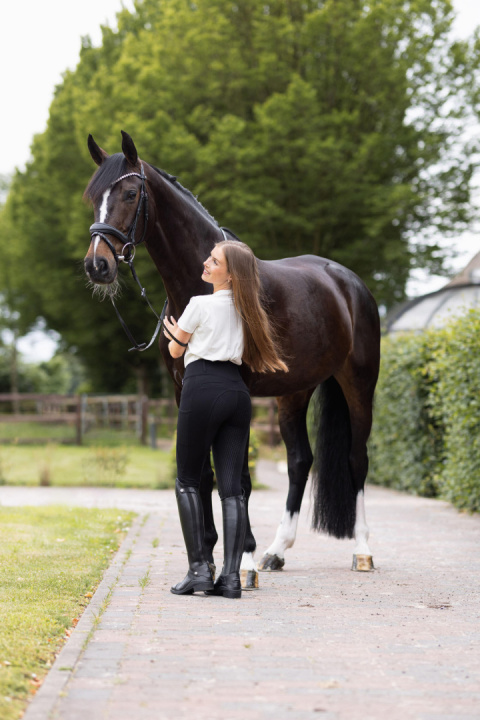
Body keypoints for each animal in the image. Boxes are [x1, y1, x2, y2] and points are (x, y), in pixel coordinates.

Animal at [83, 131, 382, 584]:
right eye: (92, 196)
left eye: (131, 194)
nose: (97, 265)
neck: (204, 290)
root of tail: (348, 282)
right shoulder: (185, 391)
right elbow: (206, 472)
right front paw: (210, 558)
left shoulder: (236, 389)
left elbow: (237, 474)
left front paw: (241, 561)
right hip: (294, 393)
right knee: (300, 462)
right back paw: (277, 551)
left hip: (358, 385)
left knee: (356, 460)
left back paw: (361, 551)